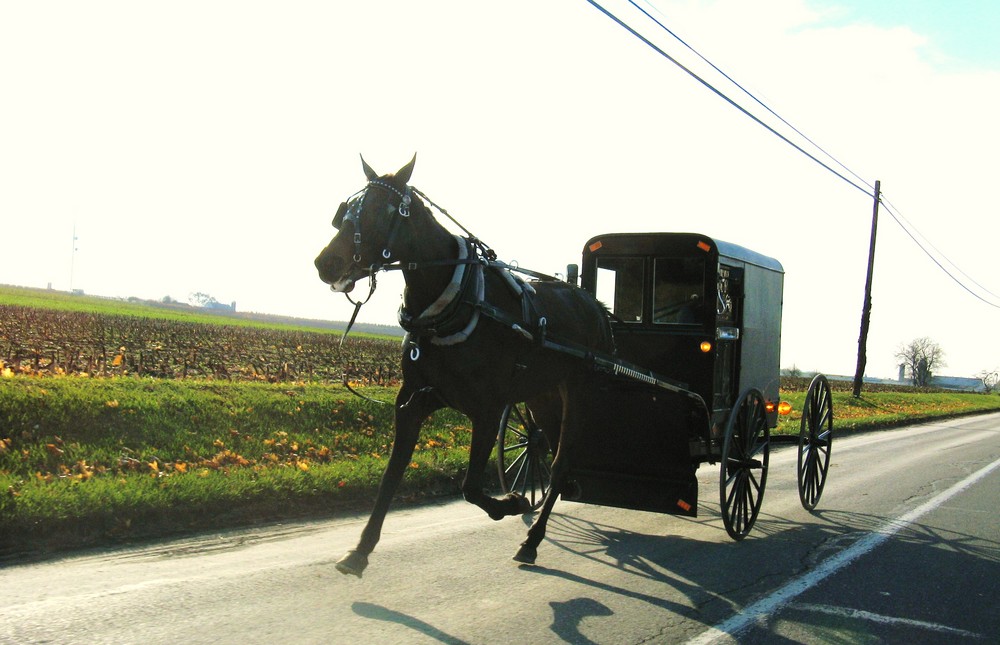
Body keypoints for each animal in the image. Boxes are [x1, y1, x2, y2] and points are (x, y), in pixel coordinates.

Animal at [312, 155, 612, 572]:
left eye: (381, 210)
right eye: (347, 210)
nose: (327, 262)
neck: (457, 299)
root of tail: (595, 306)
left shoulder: (488, 409)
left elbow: (470, 487)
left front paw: (512, 502)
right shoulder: (415, 401)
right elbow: (391, 475)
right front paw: (360, 549)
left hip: (578, 395)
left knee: (561, 461)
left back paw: (532, 539)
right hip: (542, 396)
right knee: (549, 450)